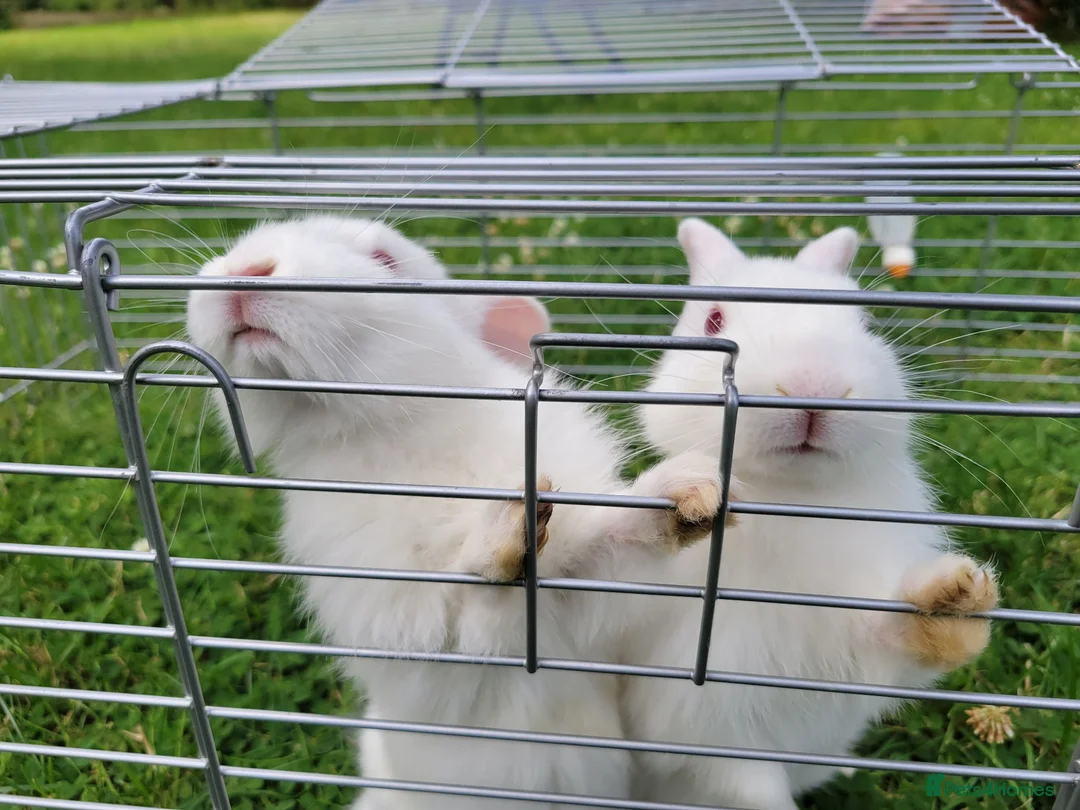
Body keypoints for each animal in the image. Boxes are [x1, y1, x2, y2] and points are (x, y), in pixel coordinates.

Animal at [185, 215, 728, 809]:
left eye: (385, 261)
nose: (246, 269)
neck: (400, 436)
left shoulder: (579, 588)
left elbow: (608, 545)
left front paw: (692, 491)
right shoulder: (419, 630)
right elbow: (480, 604)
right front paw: (508, 530)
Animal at [619, 218, 999, 810]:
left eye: (865, 322)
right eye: (713, 321)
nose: (812, 388)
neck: (791, 500)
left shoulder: (859, 638)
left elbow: (903, 635)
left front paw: (957, 596)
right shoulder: (703, 728)